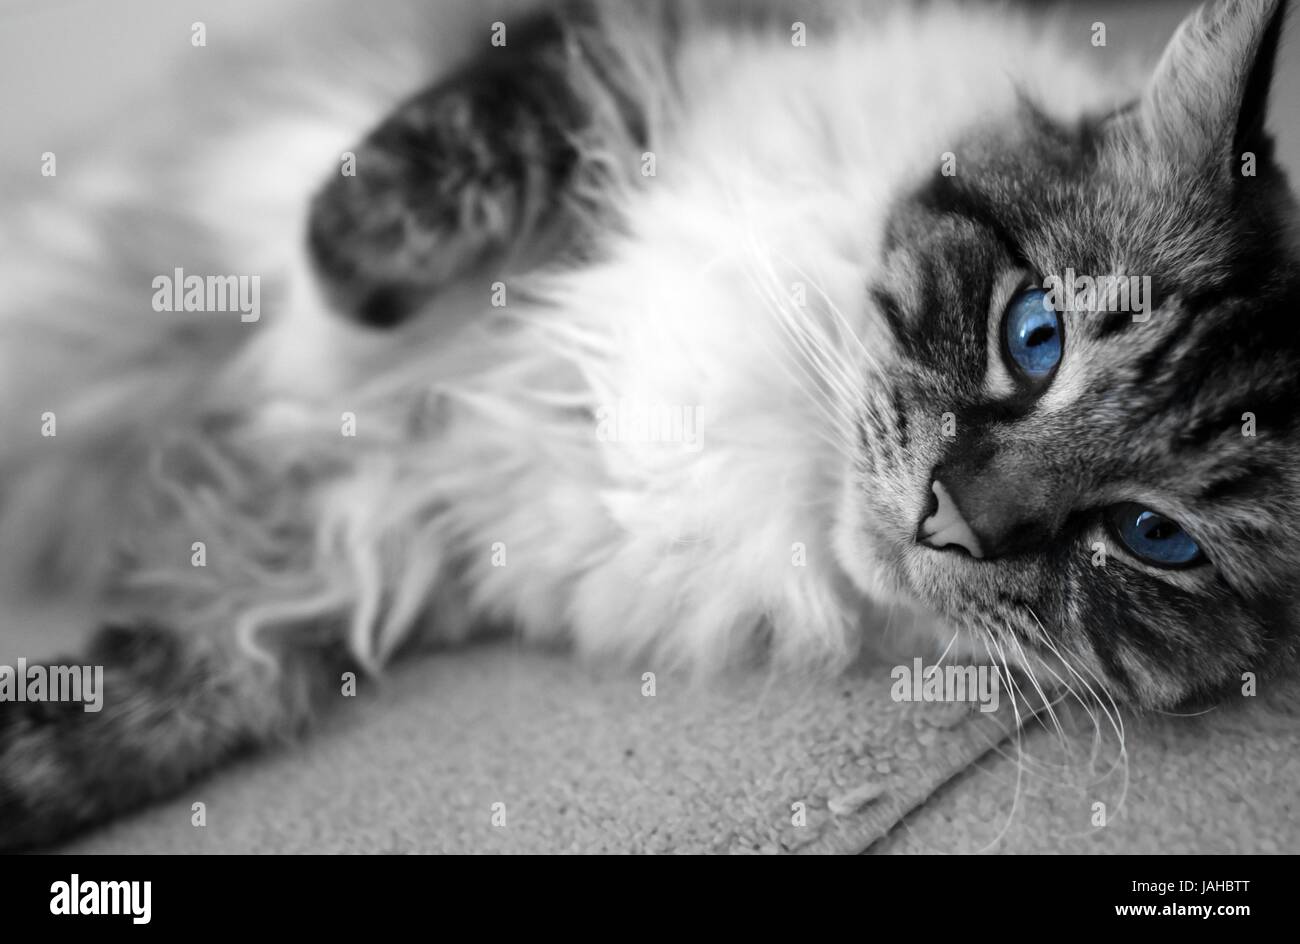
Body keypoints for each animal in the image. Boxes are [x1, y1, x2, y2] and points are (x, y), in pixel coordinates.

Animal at [0, 0, 1294, 852]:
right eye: (1035, 338)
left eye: (1153, 538)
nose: (953, 520)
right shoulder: (614, 61)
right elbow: (444, 162)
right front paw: (342, 283)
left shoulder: (337, 550)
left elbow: (132, 714)